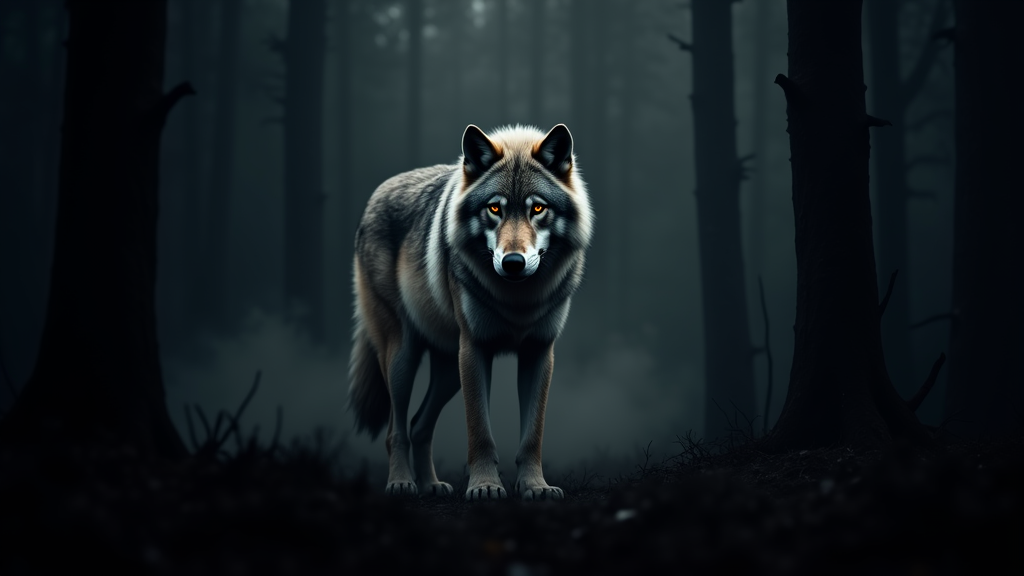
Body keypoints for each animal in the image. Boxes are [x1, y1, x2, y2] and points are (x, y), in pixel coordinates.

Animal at [347, 124, 593, 500]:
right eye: (494, 208)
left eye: (538, 209)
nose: (513, 262)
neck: (517, 300)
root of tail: (377, 194)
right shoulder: (475, 350)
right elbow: (480, 430)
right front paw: (485, 486)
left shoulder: (539, 352)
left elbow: (532, 434)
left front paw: (535, 487)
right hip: (404, 357)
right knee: (396, 429)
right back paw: (401, 483)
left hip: (449, 370)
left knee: (419, 425)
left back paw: (432, 485)